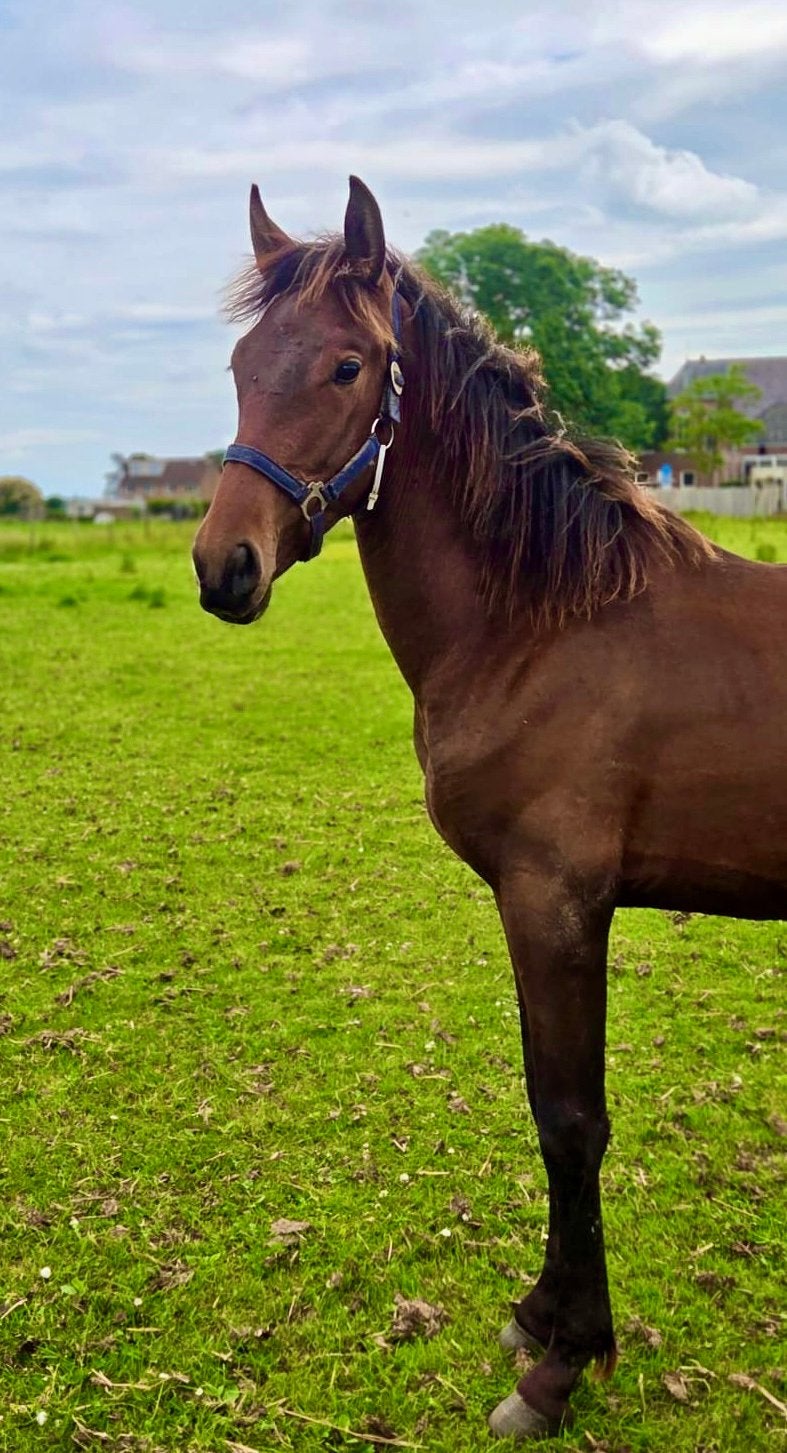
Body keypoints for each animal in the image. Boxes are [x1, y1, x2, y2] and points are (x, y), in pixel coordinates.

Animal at [192, 176, 787, 1440]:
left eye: (348, 366)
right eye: (242, 361)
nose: (226, 567)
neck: (544, 622)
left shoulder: (556, 901)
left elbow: (571, 1121)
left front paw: (559, 1365)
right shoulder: (535, 909)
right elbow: (549, 1108)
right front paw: (539, 1318)